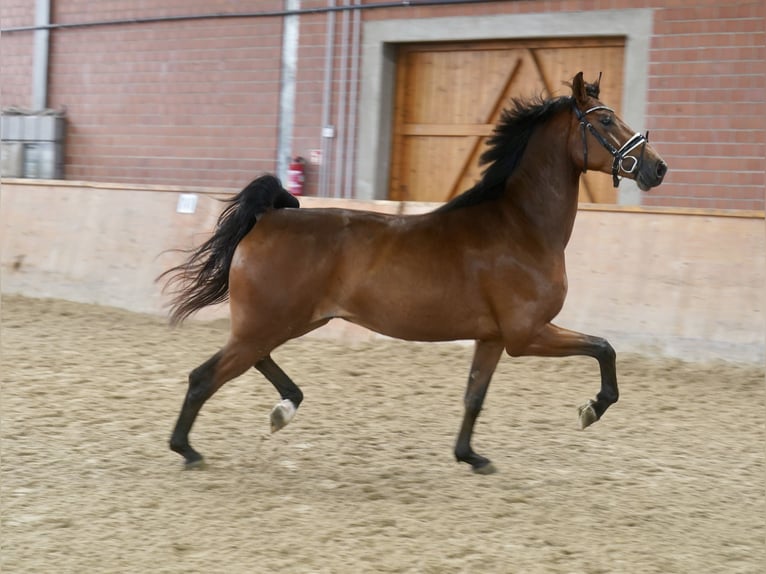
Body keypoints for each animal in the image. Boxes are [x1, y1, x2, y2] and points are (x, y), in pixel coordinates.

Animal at [159, 72, 667, 474]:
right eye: (605, 121)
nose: (657, 168)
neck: (521, 227)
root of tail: (268, 217)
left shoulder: (493, 338)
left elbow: (475, 397)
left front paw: (470, 457)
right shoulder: (527, 334)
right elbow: (604, 348)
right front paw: (592, 408)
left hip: (287, 321)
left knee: (252, 360)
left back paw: (283, 407)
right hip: (269, 323)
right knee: (205, 376)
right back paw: (188, 450)